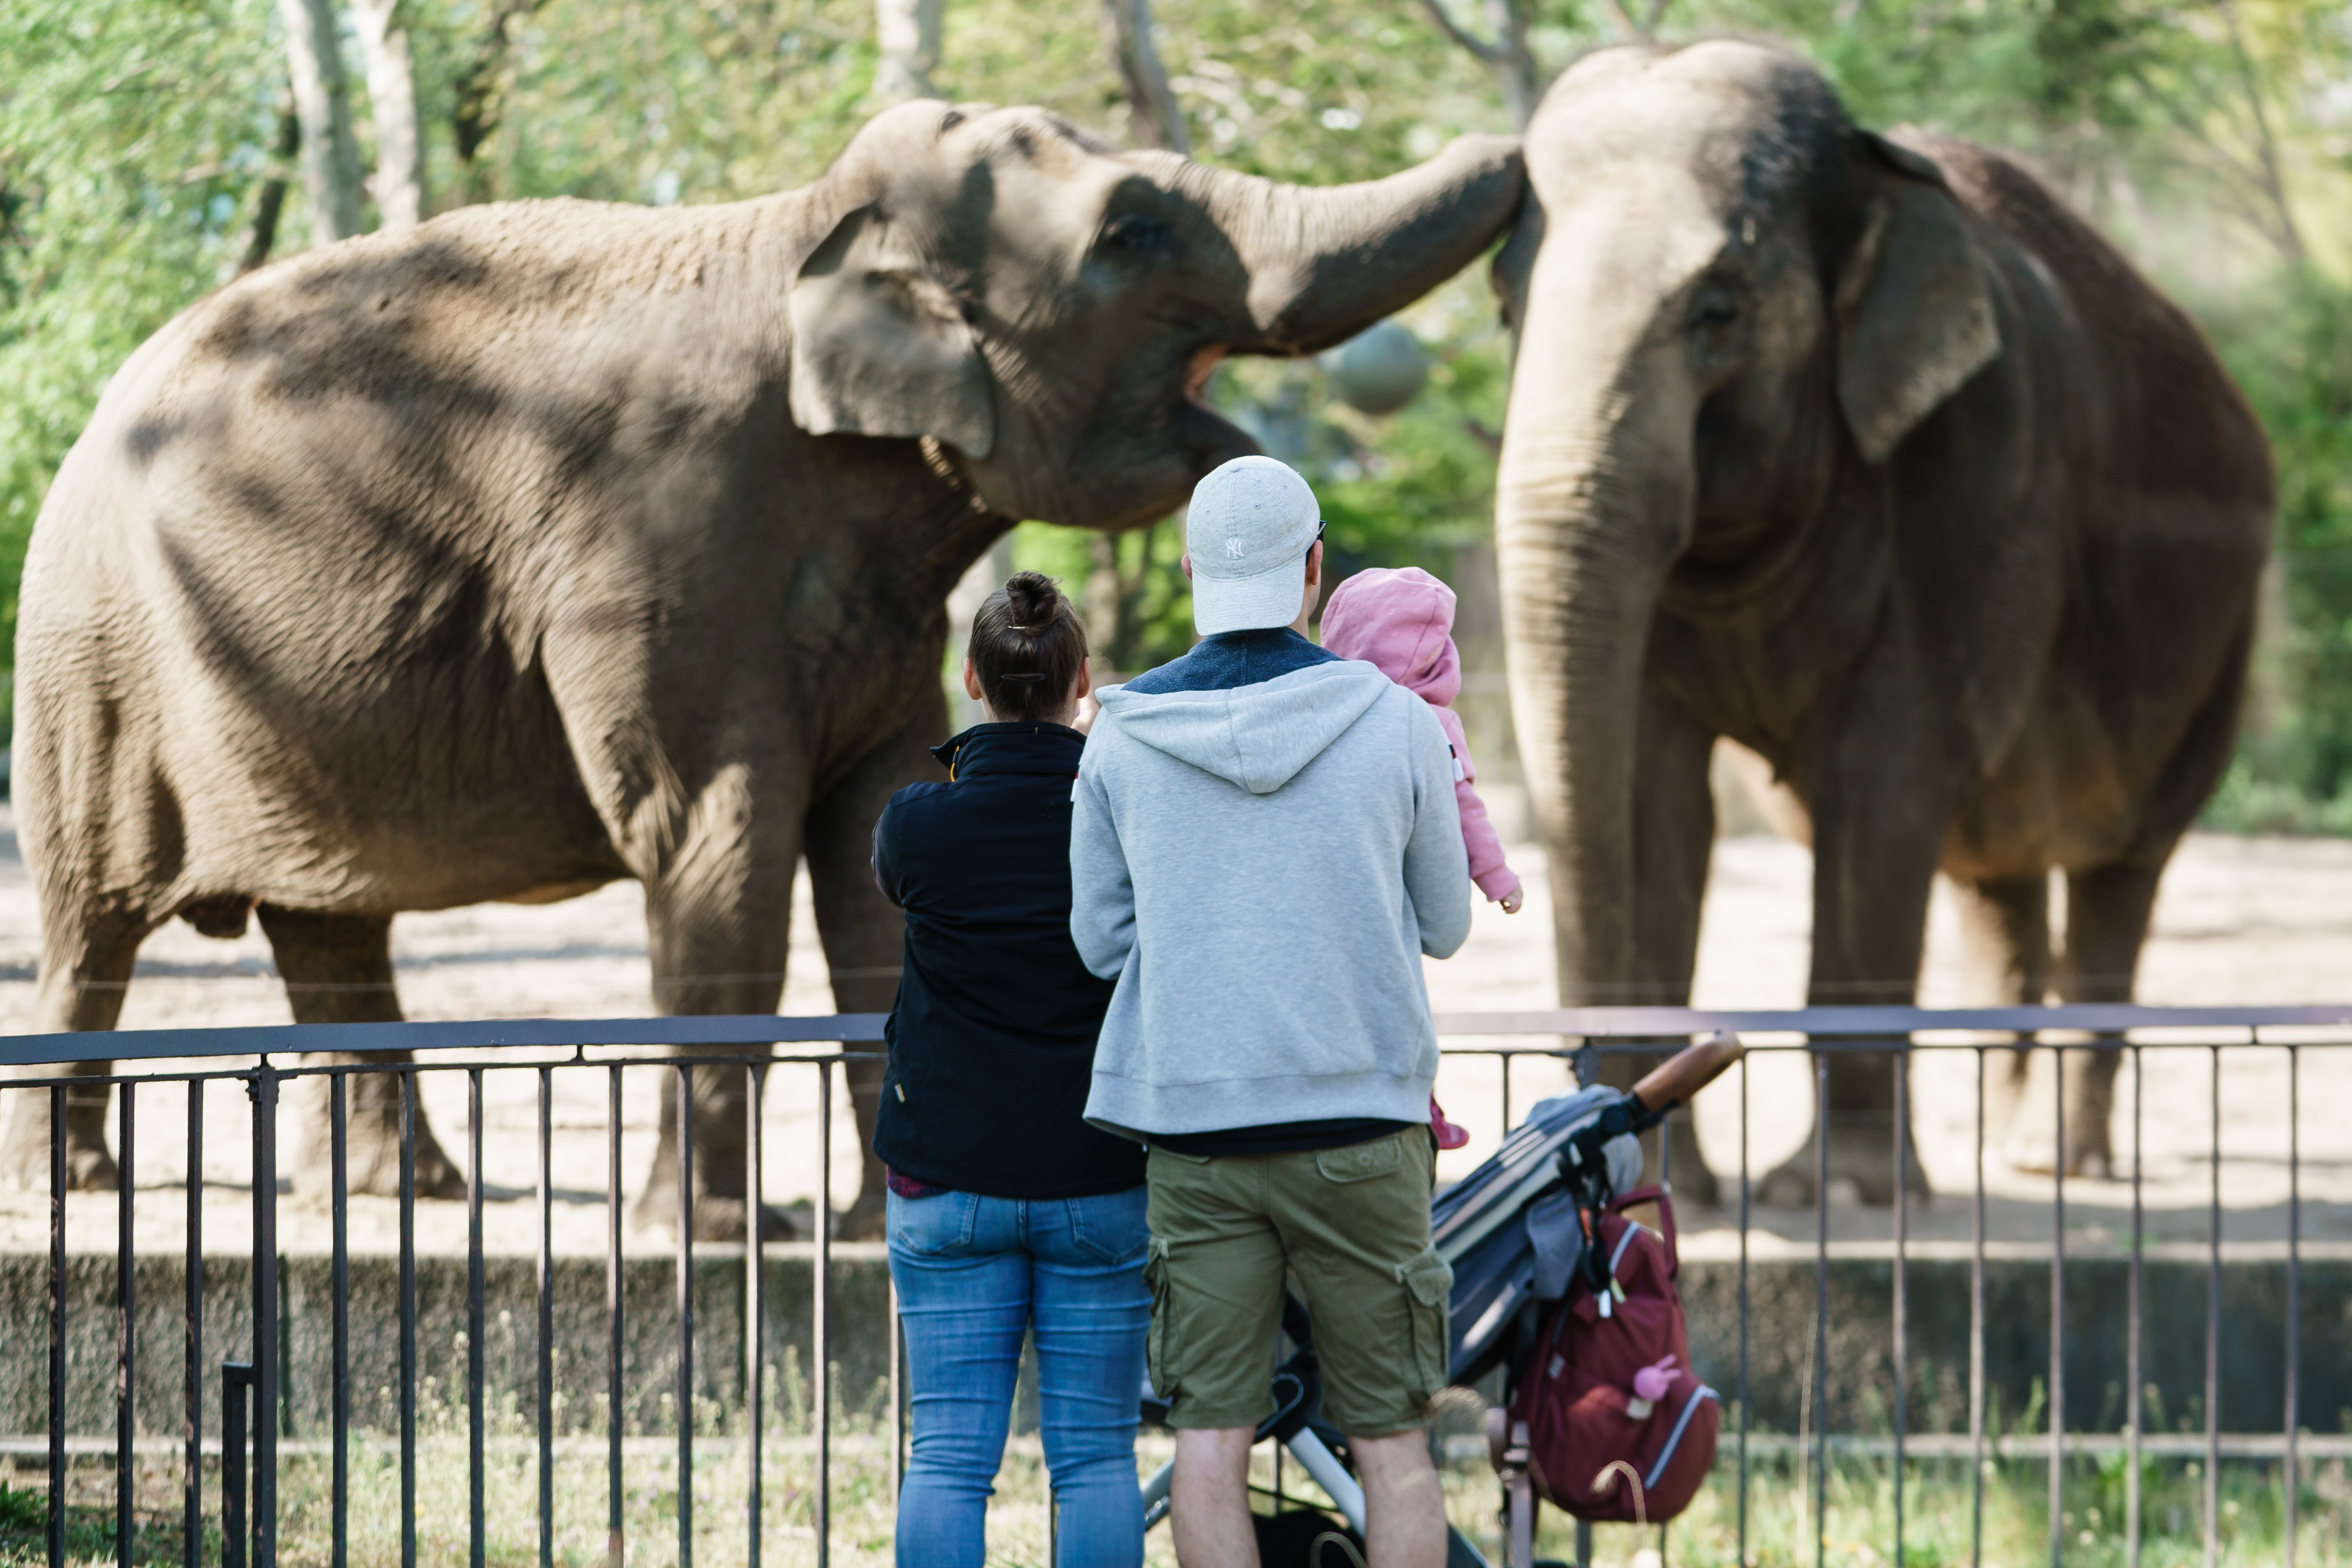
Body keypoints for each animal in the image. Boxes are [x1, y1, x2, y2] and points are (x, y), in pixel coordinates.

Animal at [0, 98, 1524, 1241]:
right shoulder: (668, 541)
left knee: (329, 925)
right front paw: (729, 1234)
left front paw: (873, 1218)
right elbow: (711, 840)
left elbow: (865, 851)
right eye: (1129, 232)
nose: (1521, 175)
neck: (799, 233)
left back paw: (406, 1194)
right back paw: (74, 1187)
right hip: (88, 665)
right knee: (92, 925)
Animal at [1486, 43, 2277, 1213]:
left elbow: (1883, 781)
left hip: (2215, 648)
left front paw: (1837, 1195)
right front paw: (1691, 1184)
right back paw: (2003, 1156)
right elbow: (1651, 793)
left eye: (1718, 310)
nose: (1598, 1111)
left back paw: (2058, 1160)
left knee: (2116, 870)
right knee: (1998, 876)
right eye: (1508, 308)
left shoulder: (1981, 470)